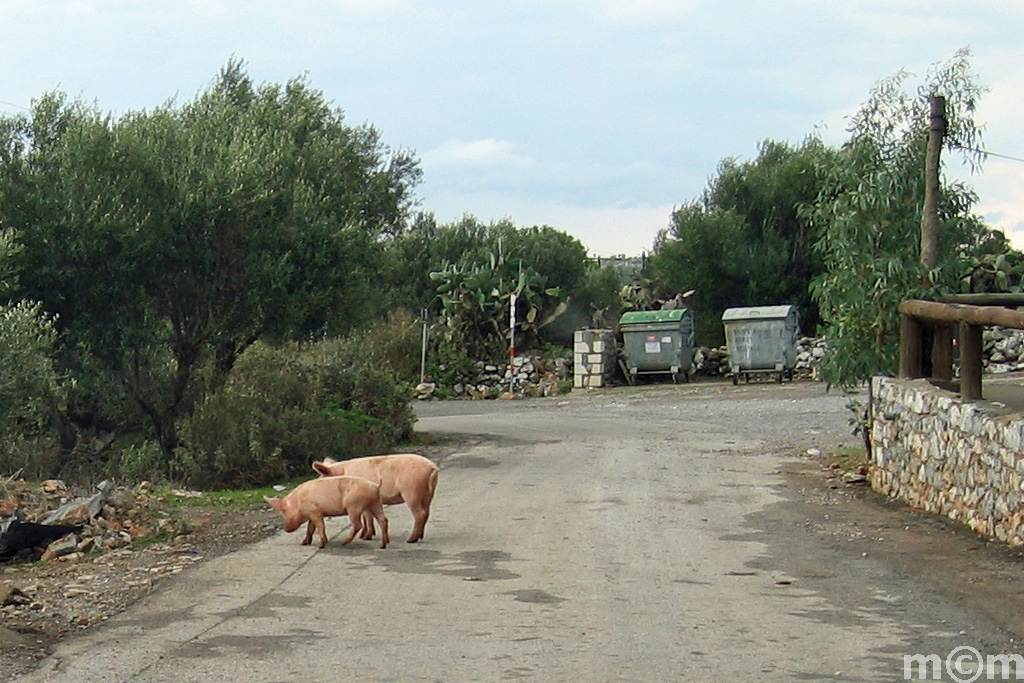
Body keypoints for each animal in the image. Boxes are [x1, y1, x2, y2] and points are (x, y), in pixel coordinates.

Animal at [311, 454, 440, 544]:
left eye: (323, 479)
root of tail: (433, 467)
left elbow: (367, 517)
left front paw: (366, 538)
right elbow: (366, 517)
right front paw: (365, 535)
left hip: (411, 492)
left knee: (420, 514)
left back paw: (410, 540)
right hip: (428, 494)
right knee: (427, 512)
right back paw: (420, 537)